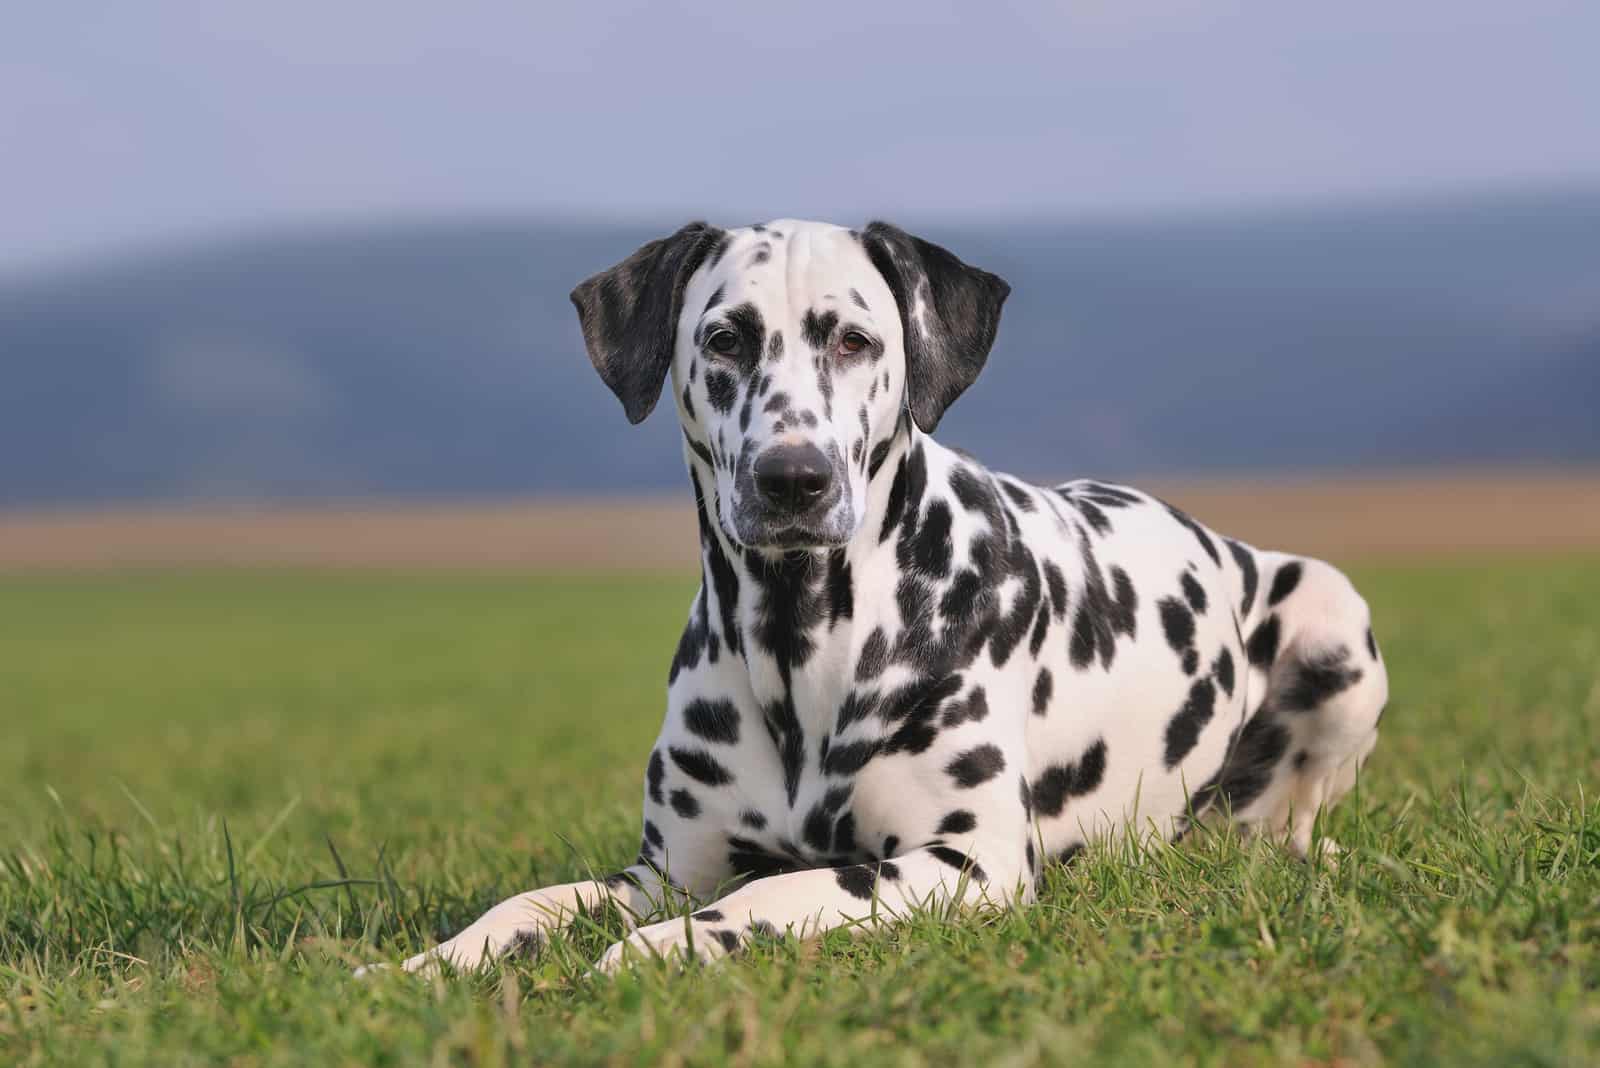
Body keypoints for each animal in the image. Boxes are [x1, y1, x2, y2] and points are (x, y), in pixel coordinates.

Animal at [363, 217, 1388, 978]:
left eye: (854, 339)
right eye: (724, 338)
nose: (793, 478)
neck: (798, 645)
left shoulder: (966, 862)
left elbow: (780, 891)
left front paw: (658, 949)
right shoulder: (665, 871)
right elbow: (532, 901)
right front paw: (431, 962)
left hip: (1333, 619)